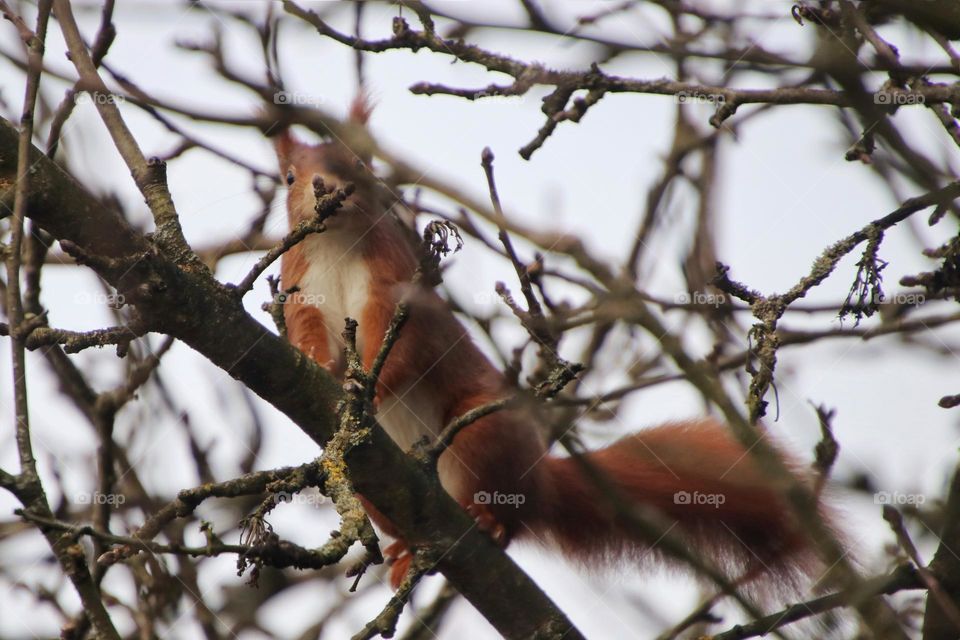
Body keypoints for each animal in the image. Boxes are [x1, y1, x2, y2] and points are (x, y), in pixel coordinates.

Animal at [274, 107, 828, 592]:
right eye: (288, 176)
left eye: (358, 163)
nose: (325, 187)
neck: (337, 243)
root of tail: (541, 482)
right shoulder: (300, 291)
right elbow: (303, 334)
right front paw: (322, 366)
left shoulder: (398, 293)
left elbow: (404, 346)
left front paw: (370, 381)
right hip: (371, 492)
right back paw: (408, 552)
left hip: (484, 434)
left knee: (509, 512)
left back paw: (489, 520)